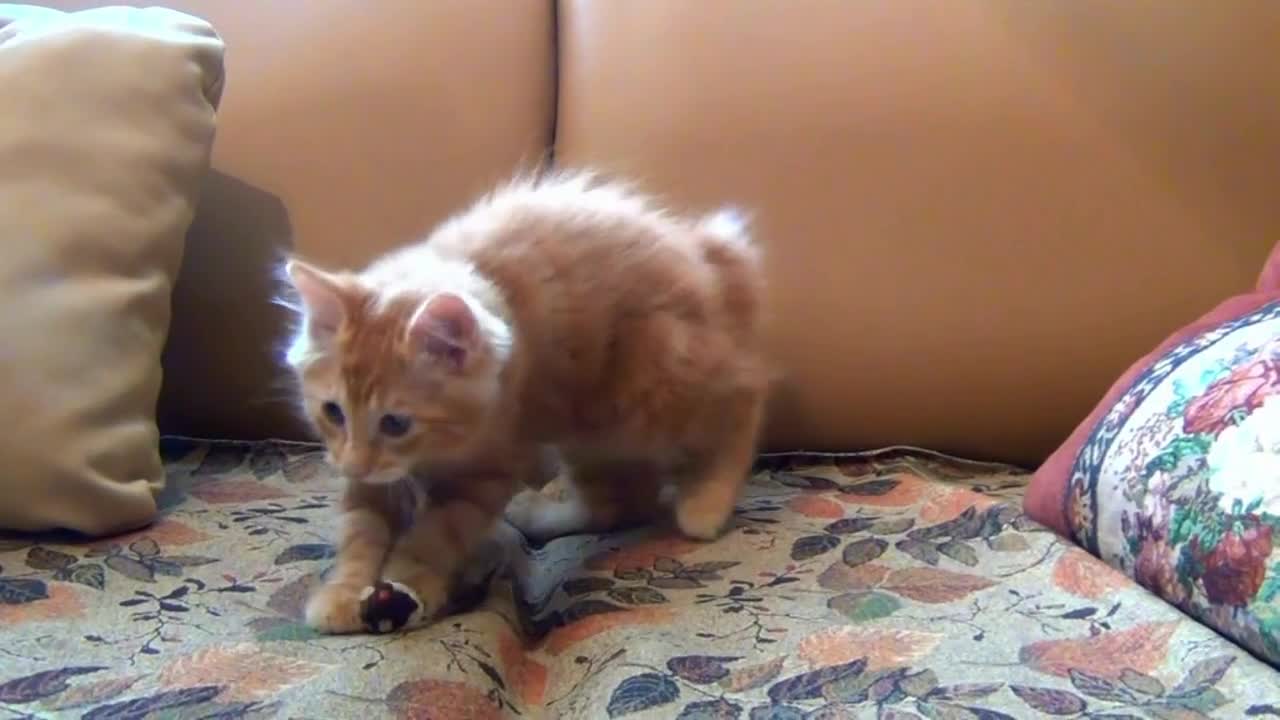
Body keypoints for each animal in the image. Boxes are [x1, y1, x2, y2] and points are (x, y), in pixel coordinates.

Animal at [285, 170, 762, 630]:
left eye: (395, 423)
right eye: (333, 413)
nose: (352, 464)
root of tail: (706, 255)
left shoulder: (486, 471)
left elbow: (433, 535)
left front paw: (410, 582)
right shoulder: (372, 482)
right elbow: (360, 531)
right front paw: (343, 594)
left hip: (648, 394)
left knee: (741, 400)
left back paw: (707, 501)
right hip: (594, 433)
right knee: (626, 502)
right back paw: (536, 516)